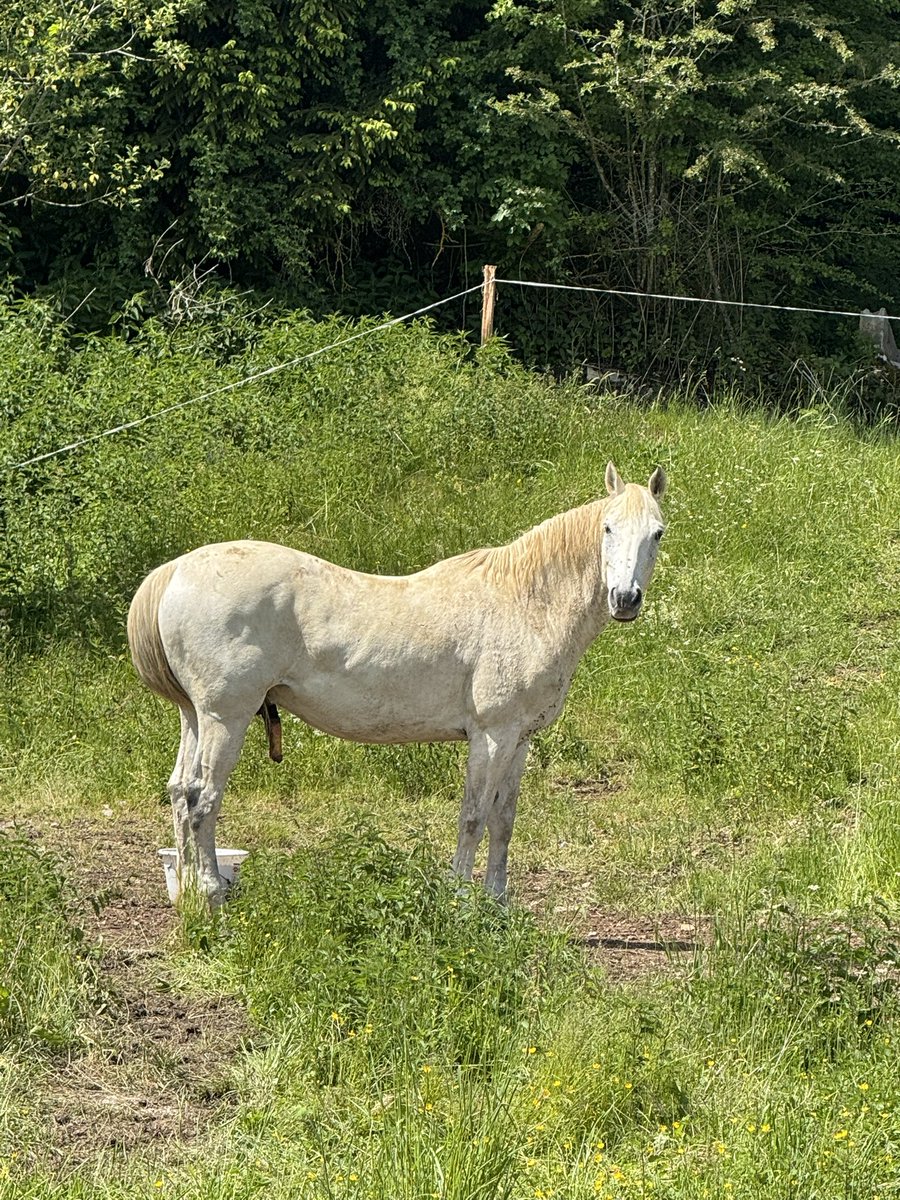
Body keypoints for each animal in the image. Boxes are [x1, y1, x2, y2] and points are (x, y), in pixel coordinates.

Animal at [127, 461, 666, 906]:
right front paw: (460, 901)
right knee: (202, 798)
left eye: (657, 533)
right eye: (608, 528)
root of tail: (177, 570)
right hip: (226, 717)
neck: (524, 603)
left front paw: (498, 903)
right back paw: (210, 891)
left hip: (195, 716)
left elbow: (503, 821)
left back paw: (190, 892)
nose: (625, 599)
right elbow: (473, 817)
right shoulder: (491, 737)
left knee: (180, 791)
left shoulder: (519, 739)